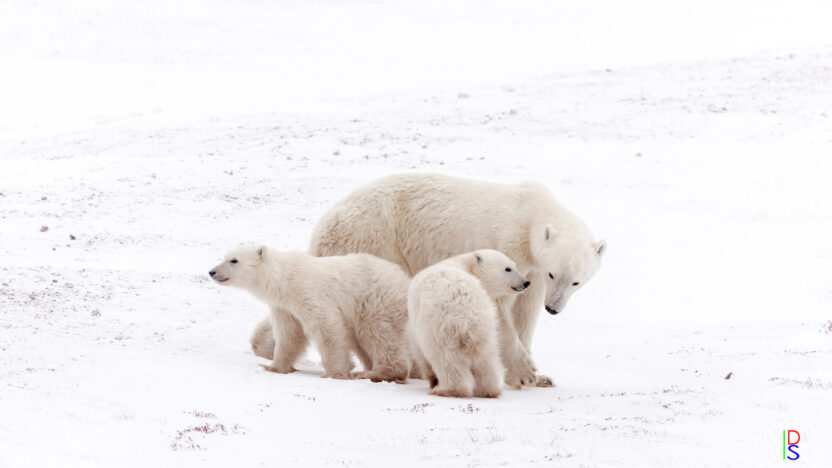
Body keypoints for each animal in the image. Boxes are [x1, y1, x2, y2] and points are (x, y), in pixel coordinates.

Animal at [210, 245, 411, 382]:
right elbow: (289, 335)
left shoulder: (310, 293)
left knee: (378, 332)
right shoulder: (285, 307)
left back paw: (377, 372)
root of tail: (404, 279)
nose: (212, 271)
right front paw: (274, 367)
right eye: (225, 256)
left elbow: (327, 327)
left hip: (374, 299)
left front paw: (335, 373)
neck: (285, 279)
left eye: (234, 260)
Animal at [409, 249, 531, 398]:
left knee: (445, 359)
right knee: (485, 359)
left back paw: (447, 390)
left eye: (515, 266)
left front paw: (433, 380)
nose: (526, 282)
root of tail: (469, 315)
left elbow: (419, 350)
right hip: (486, 327)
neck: (465, 265)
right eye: (508, 268)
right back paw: (487, 391)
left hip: (440, 328)